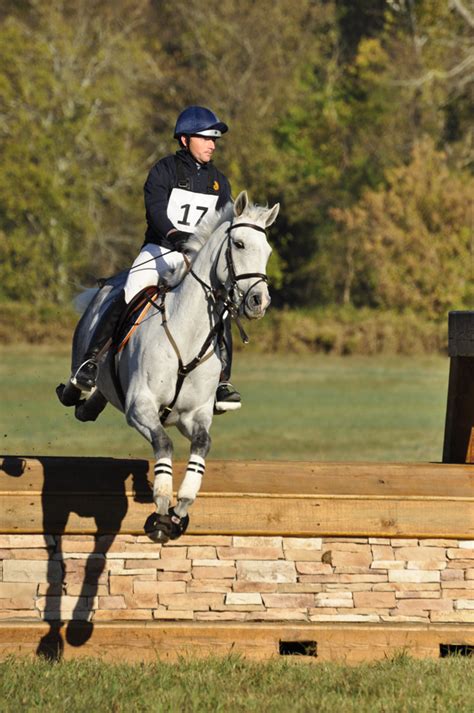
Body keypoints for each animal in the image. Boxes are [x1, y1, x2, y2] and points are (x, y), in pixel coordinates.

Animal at [57, 191, 279, 543]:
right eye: (240, 244)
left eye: (268, 251)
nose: (259, 302)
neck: (188, 334)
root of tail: (107, 285)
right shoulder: (141, 407)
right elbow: (163, 443)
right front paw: (161, 509)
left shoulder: (194, 415)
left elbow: (201, 445)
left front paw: (181, 508)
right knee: (78, 385)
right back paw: (78, 385)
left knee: (93, 403)